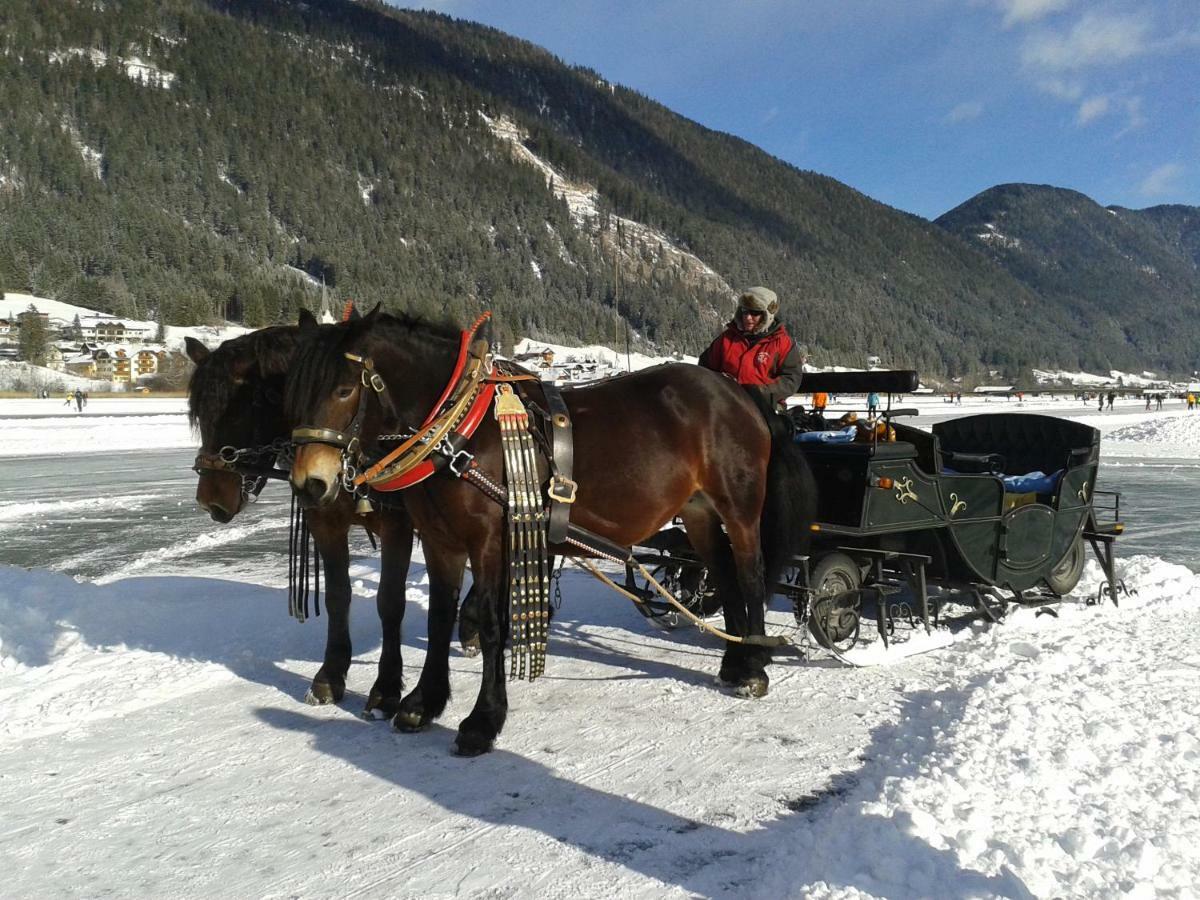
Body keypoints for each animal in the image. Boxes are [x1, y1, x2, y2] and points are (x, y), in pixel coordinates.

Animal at [286, 309, 816, 753]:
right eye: (294, 388)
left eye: (343, 389)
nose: (310, 482)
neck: (461, 432)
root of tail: (738, 393)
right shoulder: (439, 541)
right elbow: (438, 618)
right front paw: (423, 703)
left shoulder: (490, 540)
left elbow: (493, 623)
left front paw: (483, 721)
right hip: (699, 513)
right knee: (723, 575)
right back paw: (735, 661)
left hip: (740, 509)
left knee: (749, 575)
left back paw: (754, 667)